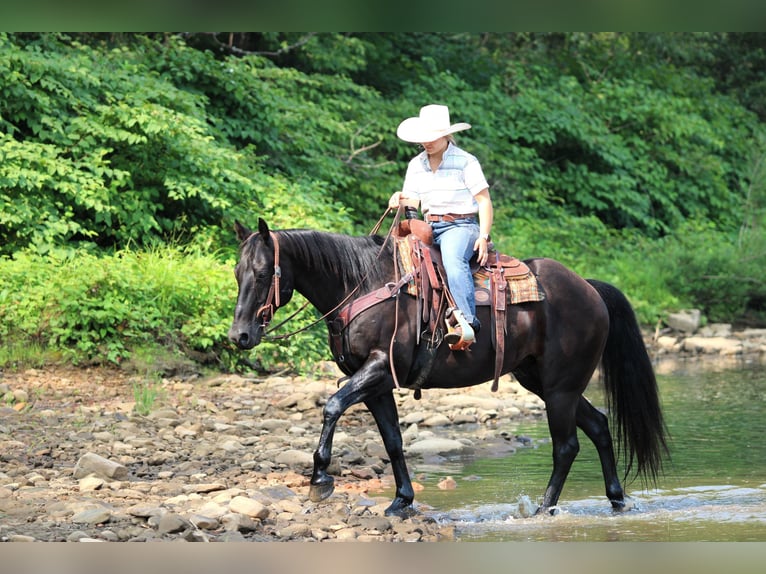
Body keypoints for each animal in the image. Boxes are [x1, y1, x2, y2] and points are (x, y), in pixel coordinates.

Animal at [228, 217, 668, 518]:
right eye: (237, 273)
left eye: (263, 273)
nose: (240, 336)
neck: (361, 285)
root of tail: (590, 288)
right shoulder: (377, 384)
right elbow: (393, 441)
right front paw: (401, 501)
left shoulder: (376, 369)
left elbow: (333, 406)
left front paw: (320, 479)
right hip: (544, 382)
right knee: (598, 426)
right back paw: (616, 499)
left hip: (560, 389)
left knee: (566, 447)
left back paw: (543, 510)